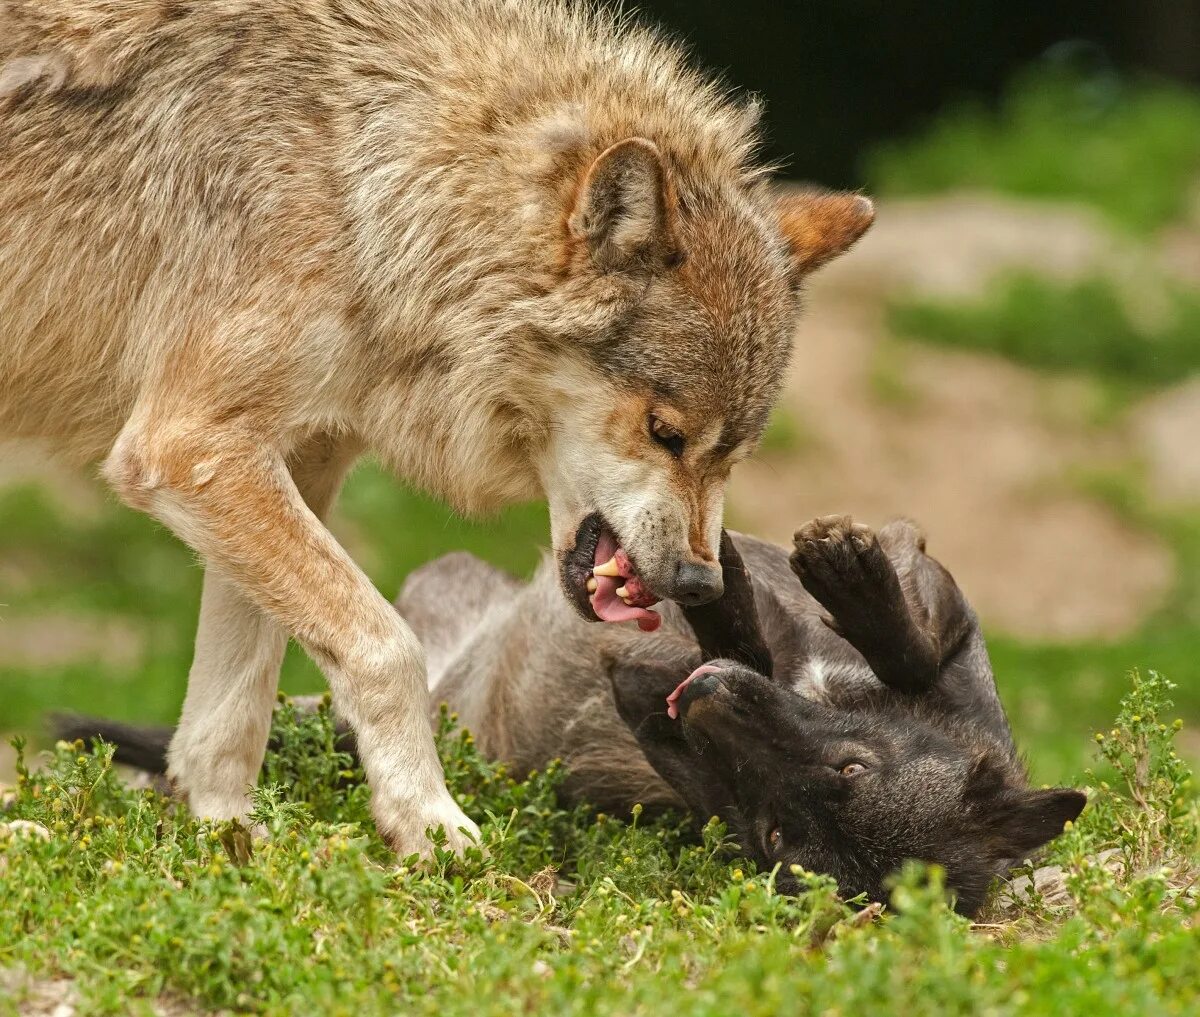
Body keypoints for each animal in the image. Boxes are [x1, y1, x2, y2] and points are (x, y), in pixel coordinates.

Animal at [0, 1, 873, 858]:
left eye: (733, 456)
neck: (367, 192)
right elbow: (387, 647)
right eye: (665, 433)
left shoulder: (288, 460)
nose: (700, 582)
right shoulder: (189, 447)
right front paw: (427, 821)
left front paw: (224, 836)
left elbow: (236, 696)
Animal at [60, 515, 1084, 911]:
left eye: (777, 836)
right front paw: (836, 582)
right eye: (851, 768)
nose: (697, 696)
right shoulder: (934, 614)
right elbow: (899, 636)